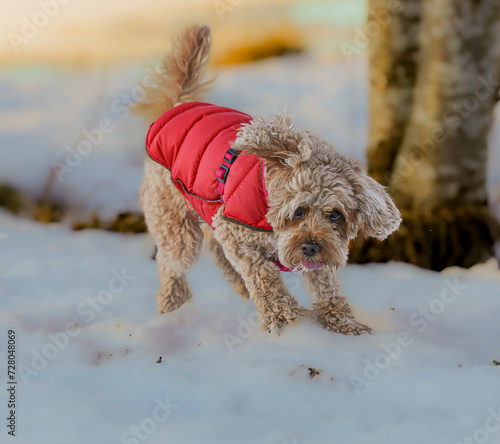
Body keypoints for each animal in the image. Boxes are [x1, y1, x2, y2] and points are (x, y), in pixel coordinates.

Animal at [140, 26, 402, 334]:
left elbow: (326, 287)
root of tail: (179, 104)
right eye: (297, 211)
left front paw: (344, 324)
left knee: (215, 248)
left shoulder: (321, 249)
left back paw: (237, 287)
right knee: (171, 260)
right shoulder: (236, 232)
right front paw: (284, 317)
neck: (267, 196)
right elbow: (264, 276)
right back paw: (173, 303)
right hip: (175, 224)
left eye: (335, 214)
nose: (310, 247)